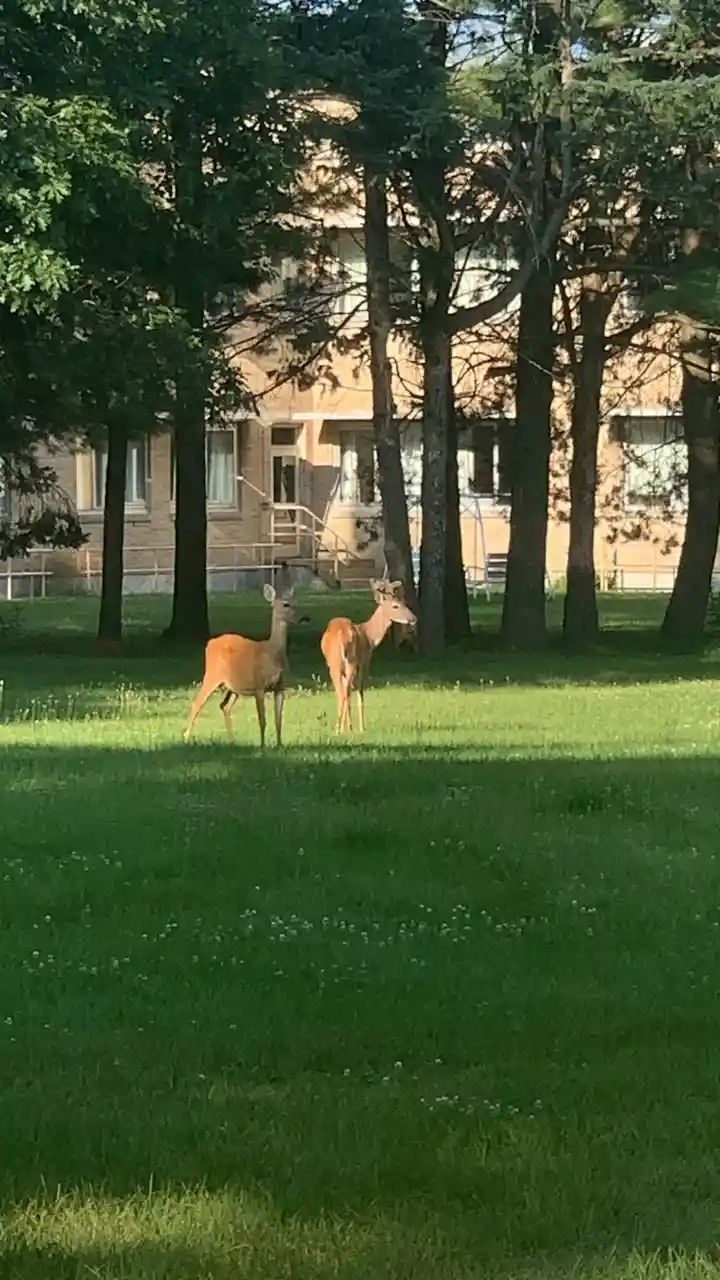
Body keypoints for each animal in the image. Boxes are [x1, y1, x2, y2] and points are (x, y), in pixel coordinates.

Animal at [183, 583, 310, 747]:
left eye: (297, 602)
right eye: (285, 604)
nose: (304, 618)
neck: (273, 652)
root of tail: (210, 643)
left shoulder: (280, 687)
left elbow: (278, 721)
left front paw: (279, 745)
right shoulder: (259, 685)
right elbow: (262, 720)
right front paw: (262, 746)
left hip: (234, 687)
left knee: (224, 706)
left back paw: (233, 741)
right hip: (212, 674)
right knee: (197, 703)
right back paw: (186, 738)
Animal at [320, 578, 416, 733]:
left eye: (404, 603)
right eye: (396, 606)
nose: (414, 618)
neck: (369, 636)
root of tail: (341, 634)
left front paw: (347, 726)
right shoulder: (365, 660)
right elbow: (360, 691)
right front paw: (361, 727)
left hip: (334, 663)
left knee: (341, 691)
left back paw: (340, 728)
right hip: (351, 661)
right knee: (346, 691)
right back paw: (345, 728)